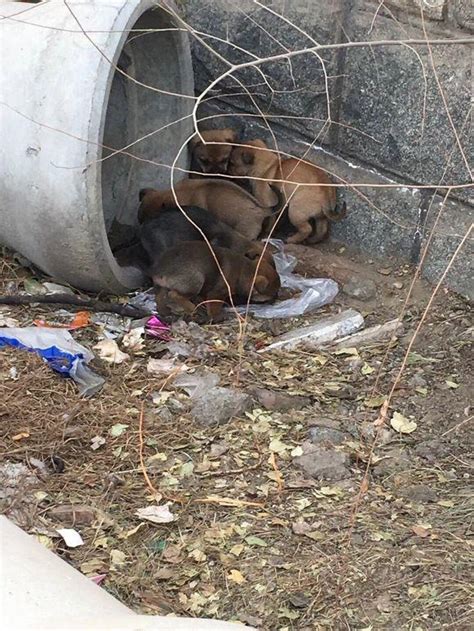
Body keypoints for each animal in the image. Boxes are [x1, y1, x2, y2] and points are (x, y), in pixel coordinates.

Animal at [150, 241, 280, 324]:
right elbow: (214, 306)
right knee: (174, 295)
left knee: (159, 297)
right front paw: (217, 317)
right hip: (196, 281)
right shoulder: (217, 293)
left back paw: (164, 312)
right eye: (273, 294)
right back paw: (192, 308)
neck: (244, 270)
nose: (275, 300)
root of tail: (160, 270)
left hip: (162, 287)